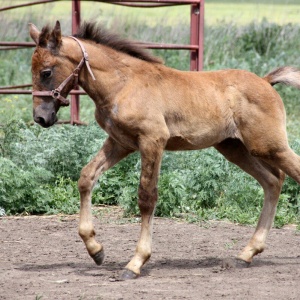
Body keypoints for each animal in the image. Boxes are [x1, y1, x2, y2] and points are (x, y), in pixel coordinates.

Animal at [28, 20, 300, 278]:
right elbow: (86, 177)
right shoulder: (120, 142)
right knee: (273, 180)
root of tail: (266, 82)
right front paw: (96, 250)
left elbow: (147, 197)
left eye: (46, 72)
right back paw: (246, 254)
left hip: (268, 146)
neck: (123, 85)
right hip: (235, 148)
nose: (41, 117)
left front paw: (136, 263)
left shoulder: (153, 140)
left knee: (285, 174)